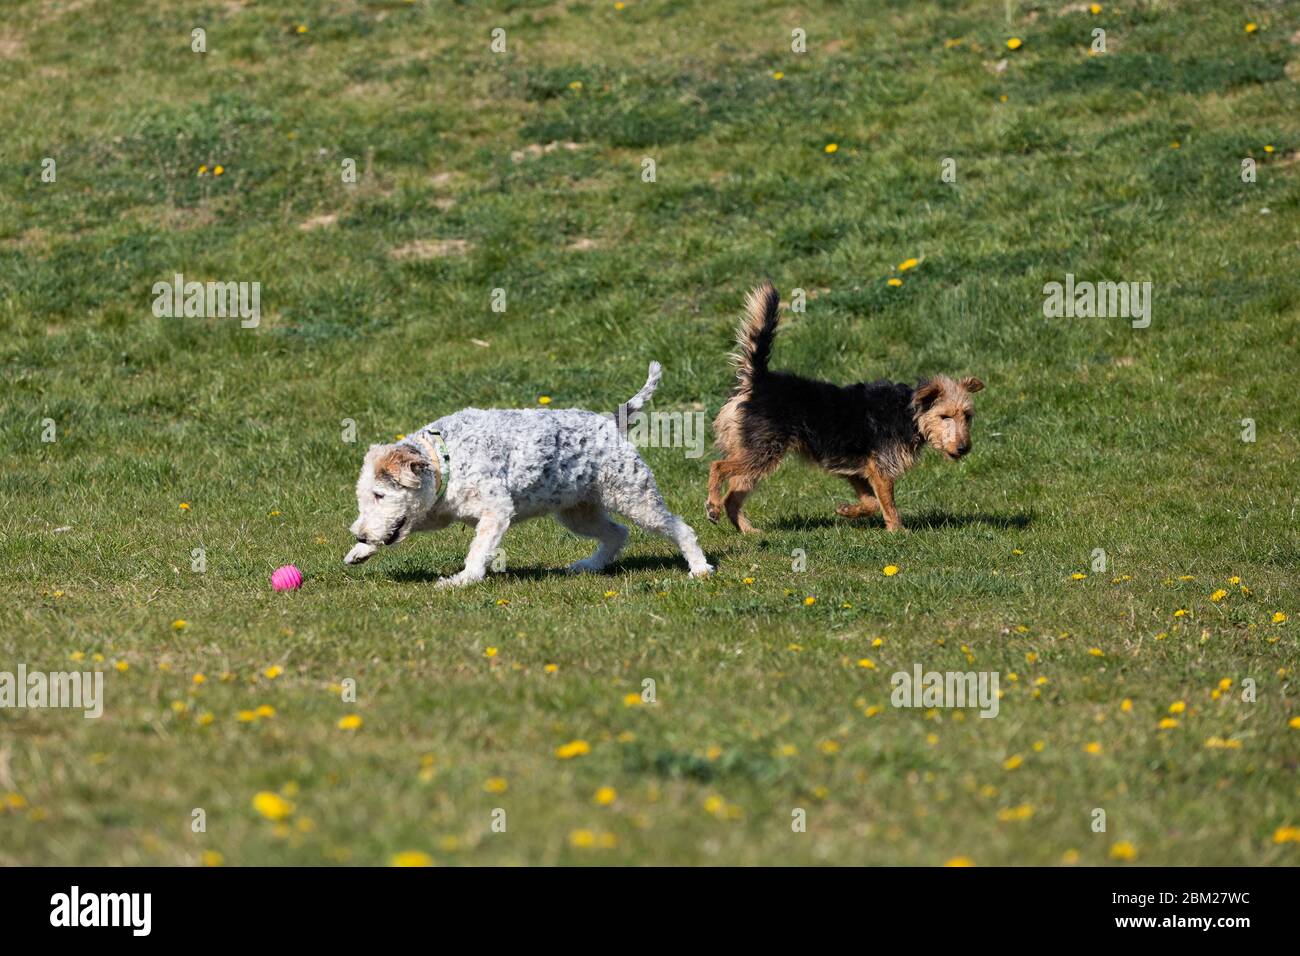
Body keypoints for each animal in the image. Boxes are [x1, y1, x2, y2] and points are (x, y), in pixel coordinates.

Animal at [343, 361, 712, 587]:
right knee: (617, 533)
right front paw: (359, 552)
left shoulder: (495, 511)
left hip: (634, 496)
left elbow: (478, 550)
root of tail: (610, 422)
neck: (447, 459)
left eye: (379, 494)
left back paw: (700, 569)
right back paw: (589, 565)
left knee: (681, 528)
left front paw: (462, 580)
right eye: (365, 497)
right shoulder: (437, 512)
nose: (359, 533)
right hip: (578, 512)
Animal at [712, 283, 982, 535]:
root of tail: (758, 380)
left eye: (967, 417)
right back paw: (712, 505)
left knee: (732, 498)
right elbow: (888, 504)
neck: (909, 413)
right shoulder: (881, 471)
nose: (964, 448)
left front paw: (847, 511)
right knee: (717, 467)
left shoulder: (858, 473)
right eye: (944, 416)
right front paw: (899, 532)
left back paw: (747, 530)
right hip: (763, 452)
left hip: (754, 457)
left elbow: (872, 503)